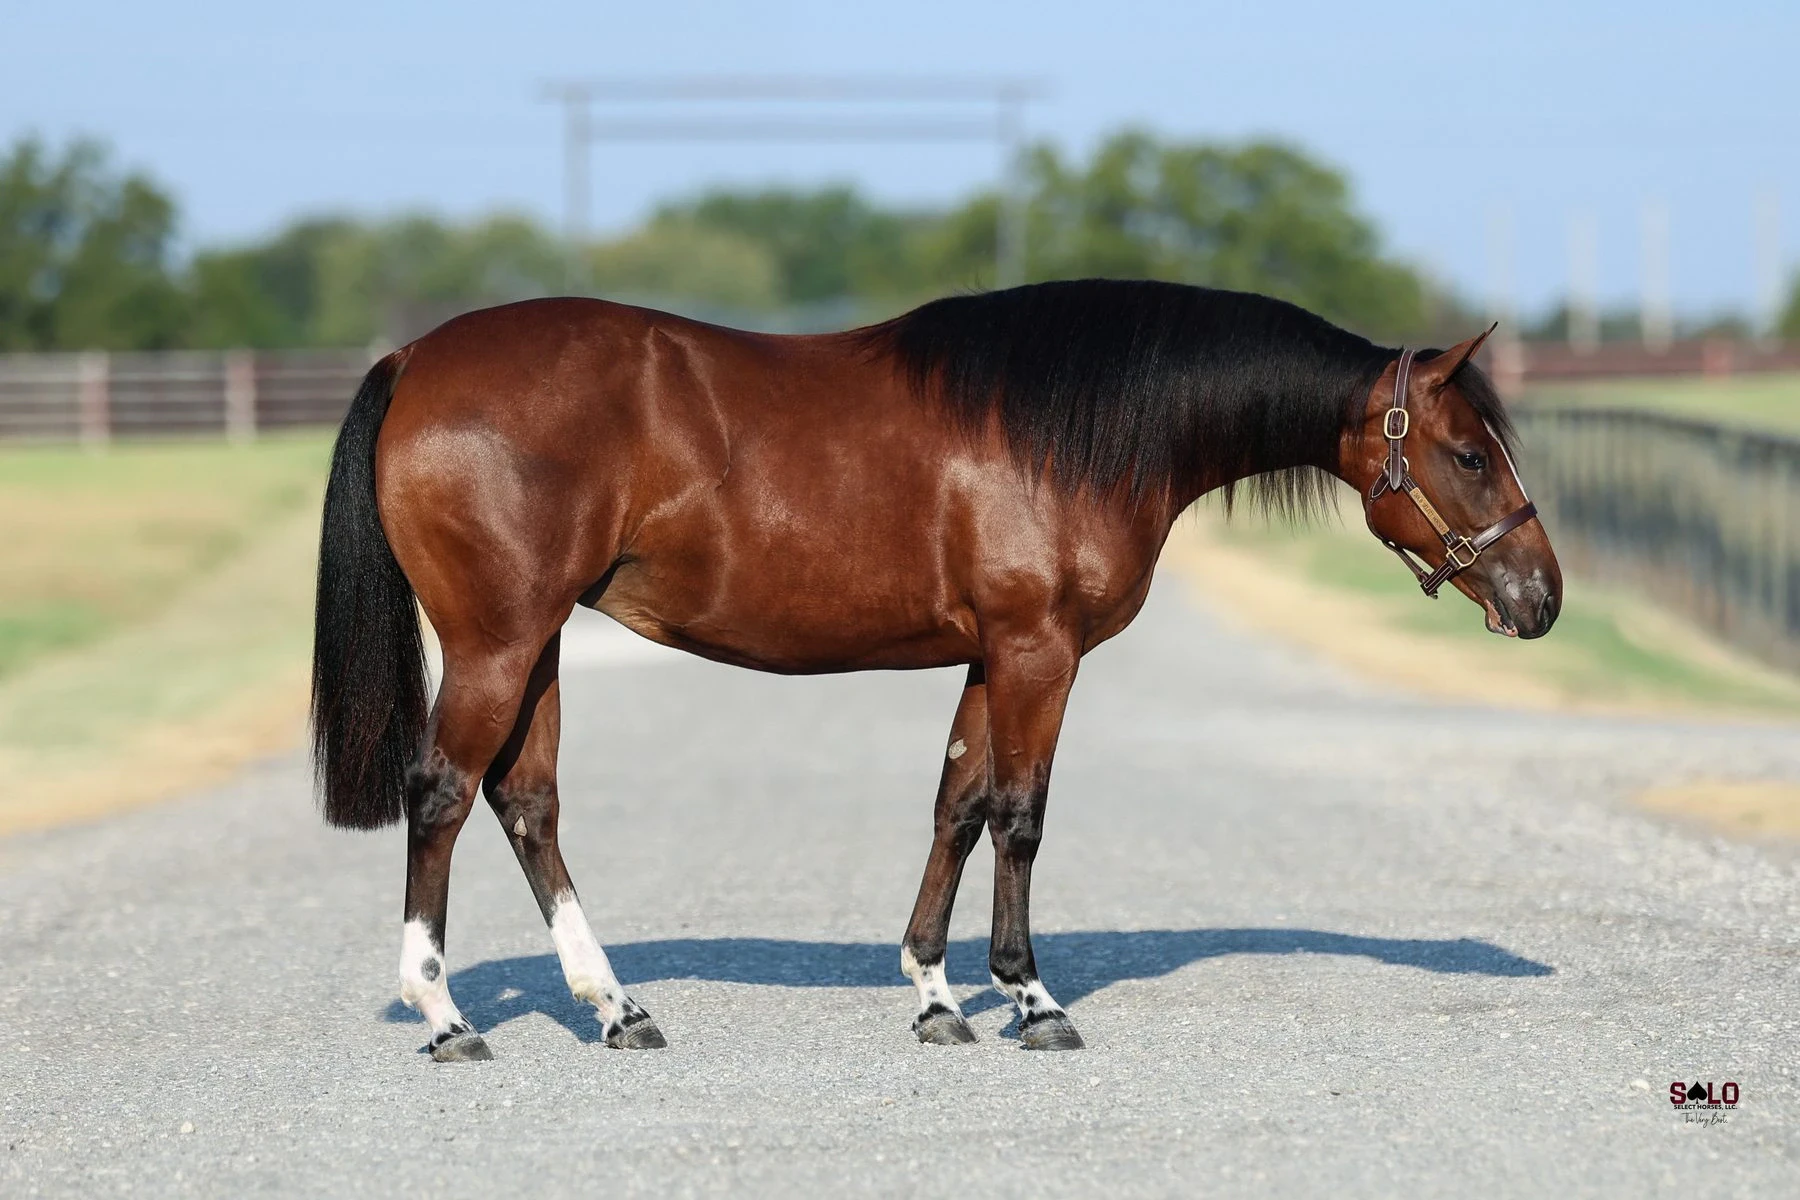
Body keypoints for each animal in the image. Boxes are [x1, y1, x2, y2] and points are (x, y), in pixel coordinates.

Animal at [310, 279, 1559, 1060]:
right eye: (1466, 454)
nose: (1542, 598)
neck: (1079, 429)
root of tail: (416, 359)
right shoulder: (1038, 651)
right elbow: (1019, 815)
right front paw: (1031, 997)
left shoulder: (988, 655)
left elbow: (956, 807)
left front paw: (934, 995)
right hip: (499, 640)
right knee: (442, 795)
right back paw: (448, 1017)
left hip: (541, 644)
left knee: (527, 802)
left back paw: (617, 1009)